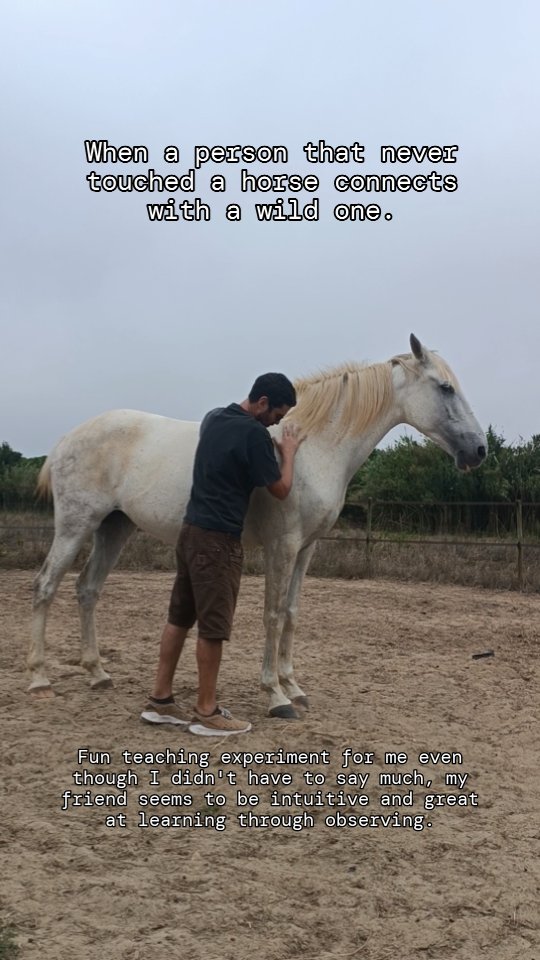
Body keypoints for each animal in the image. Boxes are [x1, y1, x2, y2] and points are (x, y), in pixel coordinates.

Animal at [28, 334, 487, 717]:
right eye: (444, 388)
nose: (479, 450)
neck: (315, 447)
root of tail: (67, 439)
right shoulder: (282, 546)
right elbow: (272, 614)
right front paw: (275, 695)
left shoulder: (306, 549)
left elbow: (292, 613)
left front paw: (293, 686)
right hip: (76, 525)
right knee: (46, 587)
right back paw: (39, 679)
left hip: (114, 528)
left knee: (87, 590)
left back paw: (98, 674)